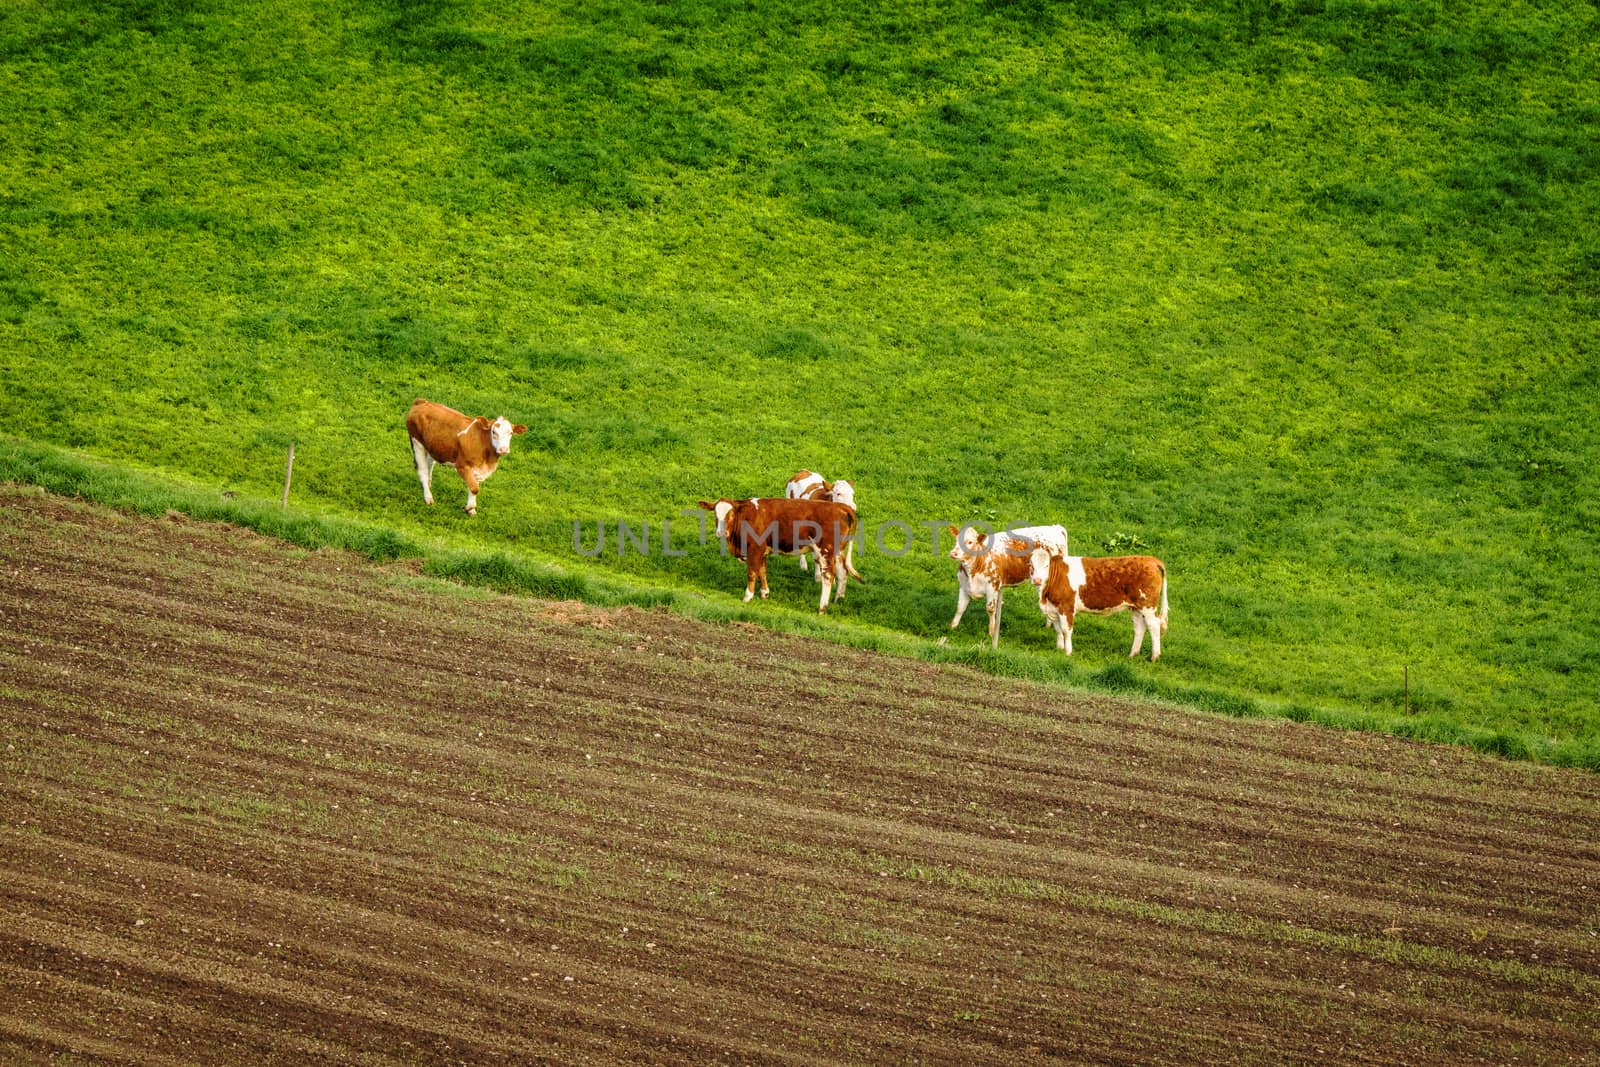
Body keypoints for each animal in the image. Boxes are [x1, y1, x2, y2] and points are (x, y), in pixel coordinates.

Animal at [694, 495, 857, 614]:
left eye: (731, 515)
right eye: (715, 514)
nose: (721, 532)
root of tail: (840, 506)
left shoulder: (755, 548)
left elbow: (752, 572)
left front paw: (748, 596)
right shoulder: (762, 550)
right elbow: (762, 571)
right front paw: (765, 593)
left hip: (825, 550)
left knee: (829, 576)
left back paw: (822, 608)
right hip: (838, 551)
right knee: (843, 573)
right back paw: (838, 599)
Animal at [940, 524, 1068, 652]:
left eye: (970, 542)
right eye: (956, 540)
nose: (953, 553)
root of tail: (1055, 527)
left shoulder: (992, 587)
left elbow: (990, 609)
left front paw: (992, 632)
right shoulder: (963, 586)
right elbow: (960, 608)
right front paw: (952, 627)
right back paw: (1048, 625)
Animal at [1030, 550, 1171, 659]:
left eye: (1046, 566)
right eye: (1031, 565)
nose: (1037, 580)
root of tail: (1149, 559)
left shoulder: (1066, 607)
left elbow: (1066, 630)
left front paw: (1068, 652)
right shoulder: (1054, 609)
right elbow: (1058, 630)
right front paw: (1059, 649)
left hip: (1148, 606)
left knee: (1154, 626)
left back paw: (1155, 657)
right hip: (1136, 607)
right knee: (1139, 628)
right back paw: (1132, 655)